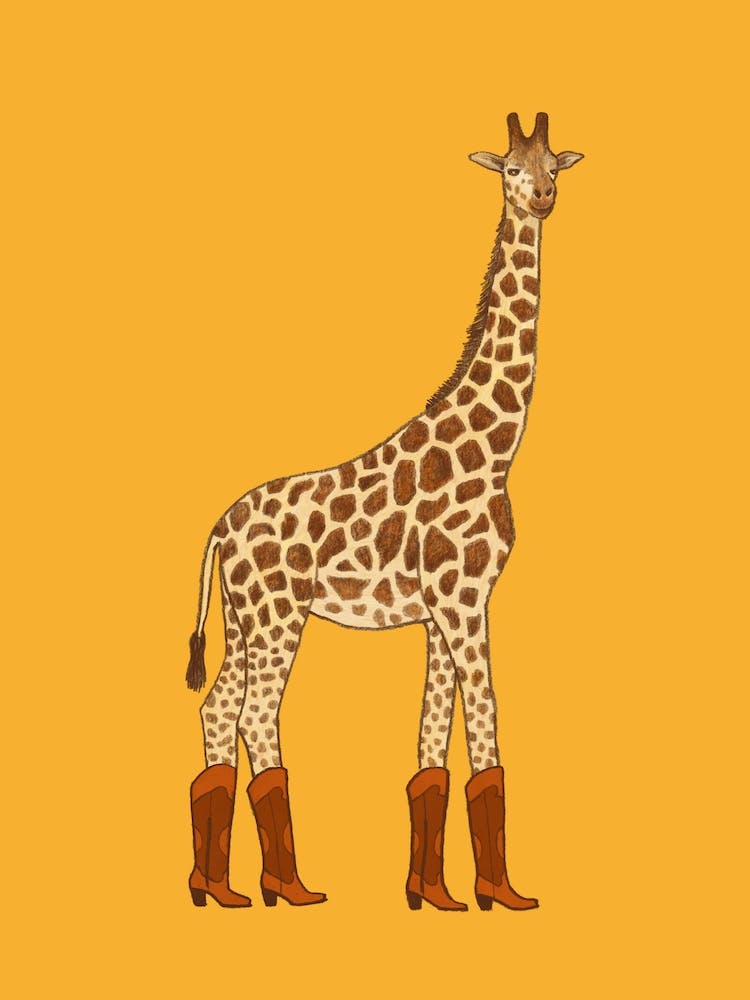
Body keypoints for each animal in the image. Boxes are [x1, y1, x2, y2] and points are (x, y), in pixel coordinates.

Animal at [185, 111, 583, 911]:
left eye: (555, 165)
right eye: (510, 171)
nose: (544, 199)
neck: (497, 447)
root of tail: (219, 529)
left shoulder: (439, 611)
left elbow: (432, 746)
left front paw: (434, 894)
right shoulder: (464, 599)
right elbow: (487, 726)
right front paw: (503, 894)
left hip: (243, 619)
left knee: (217, 710)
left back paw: (219, 888)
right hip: (279, 615)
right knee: (254, 714)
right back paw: (289, 887)